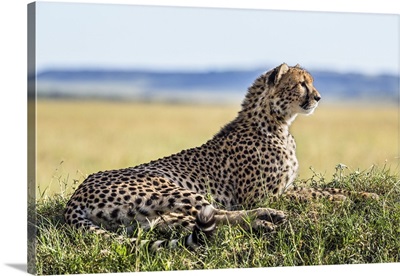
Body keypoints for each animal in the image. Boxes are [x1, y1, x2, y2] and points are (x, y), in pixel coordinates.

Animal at [64, 63, 376, 250]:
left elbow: (320, 189)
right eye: (301, 84)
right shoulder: (261, 195)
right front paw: (342, 199)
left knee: (203, 221)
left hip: (154, 219)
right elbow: (310, 194)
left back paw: (263, 222)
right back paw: (266, 219)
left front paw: (365, 195)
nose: (319, 97)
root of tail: (77, 194)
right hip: (167, 187)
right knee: (216, 212)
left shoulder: (284, 186)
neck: (277, 123)